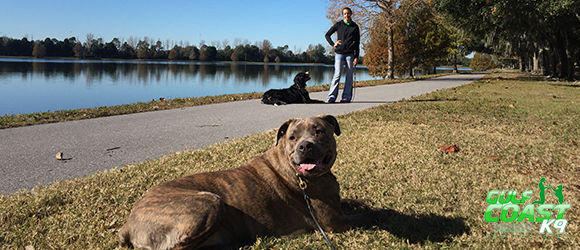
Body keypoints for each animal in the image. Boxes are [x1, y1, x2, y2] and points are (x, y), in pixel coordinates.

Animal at [119, 114, 386, 249]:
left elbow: (351, 201)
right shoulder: (335, 222)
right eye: (292, 137)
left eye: (319, 131)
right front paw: (380, 212)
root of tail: (128, 225)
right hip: (209, 202)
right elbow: (372, 215)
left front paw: (361, 200)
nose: (305, 146)